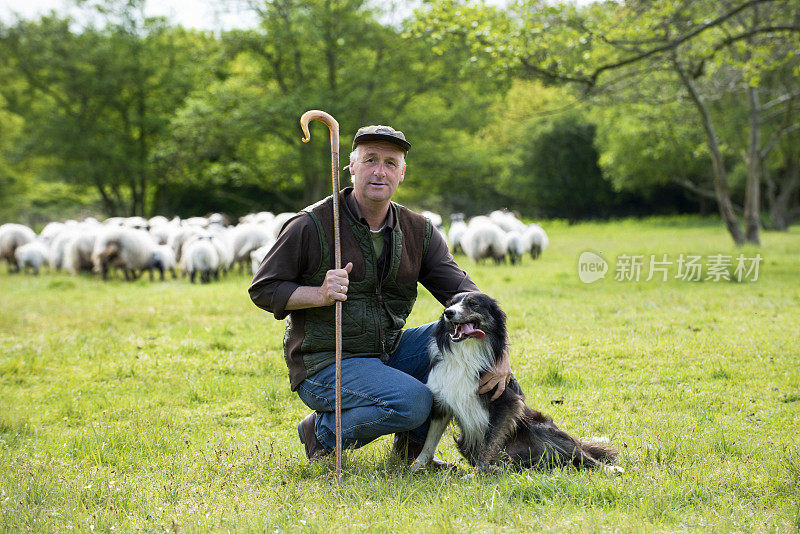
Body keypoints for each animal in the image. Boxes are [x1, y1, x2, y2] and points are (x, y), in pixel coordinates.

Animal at [410, 296, 620, 476]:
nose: (448, 312)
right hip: (465, 441)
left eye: (473, 304)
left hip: (541, 427)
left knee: (581, 455)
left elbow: (489, 444)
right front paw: (418, 465)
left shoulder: (505, 402)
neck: (467, 352)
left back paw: (610, 469)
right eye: (450, 303)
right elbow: (430, 441)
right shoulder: (443, 403)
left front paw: (477, 474)